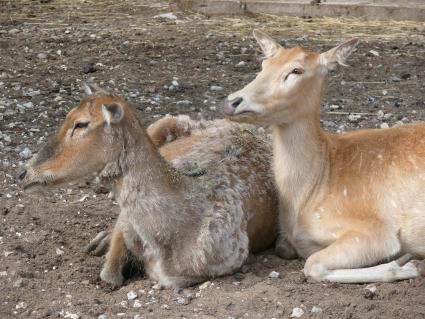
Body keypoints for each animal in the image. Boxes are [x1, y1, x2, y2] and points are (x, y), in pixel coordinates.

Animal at [224, 30, 422, 284]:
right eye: (263, 65)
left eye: (296, 70)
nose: (232, 102)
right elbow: (285, 248)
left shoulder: (376, 230)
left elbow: (313, 264)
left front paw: (405, 264)